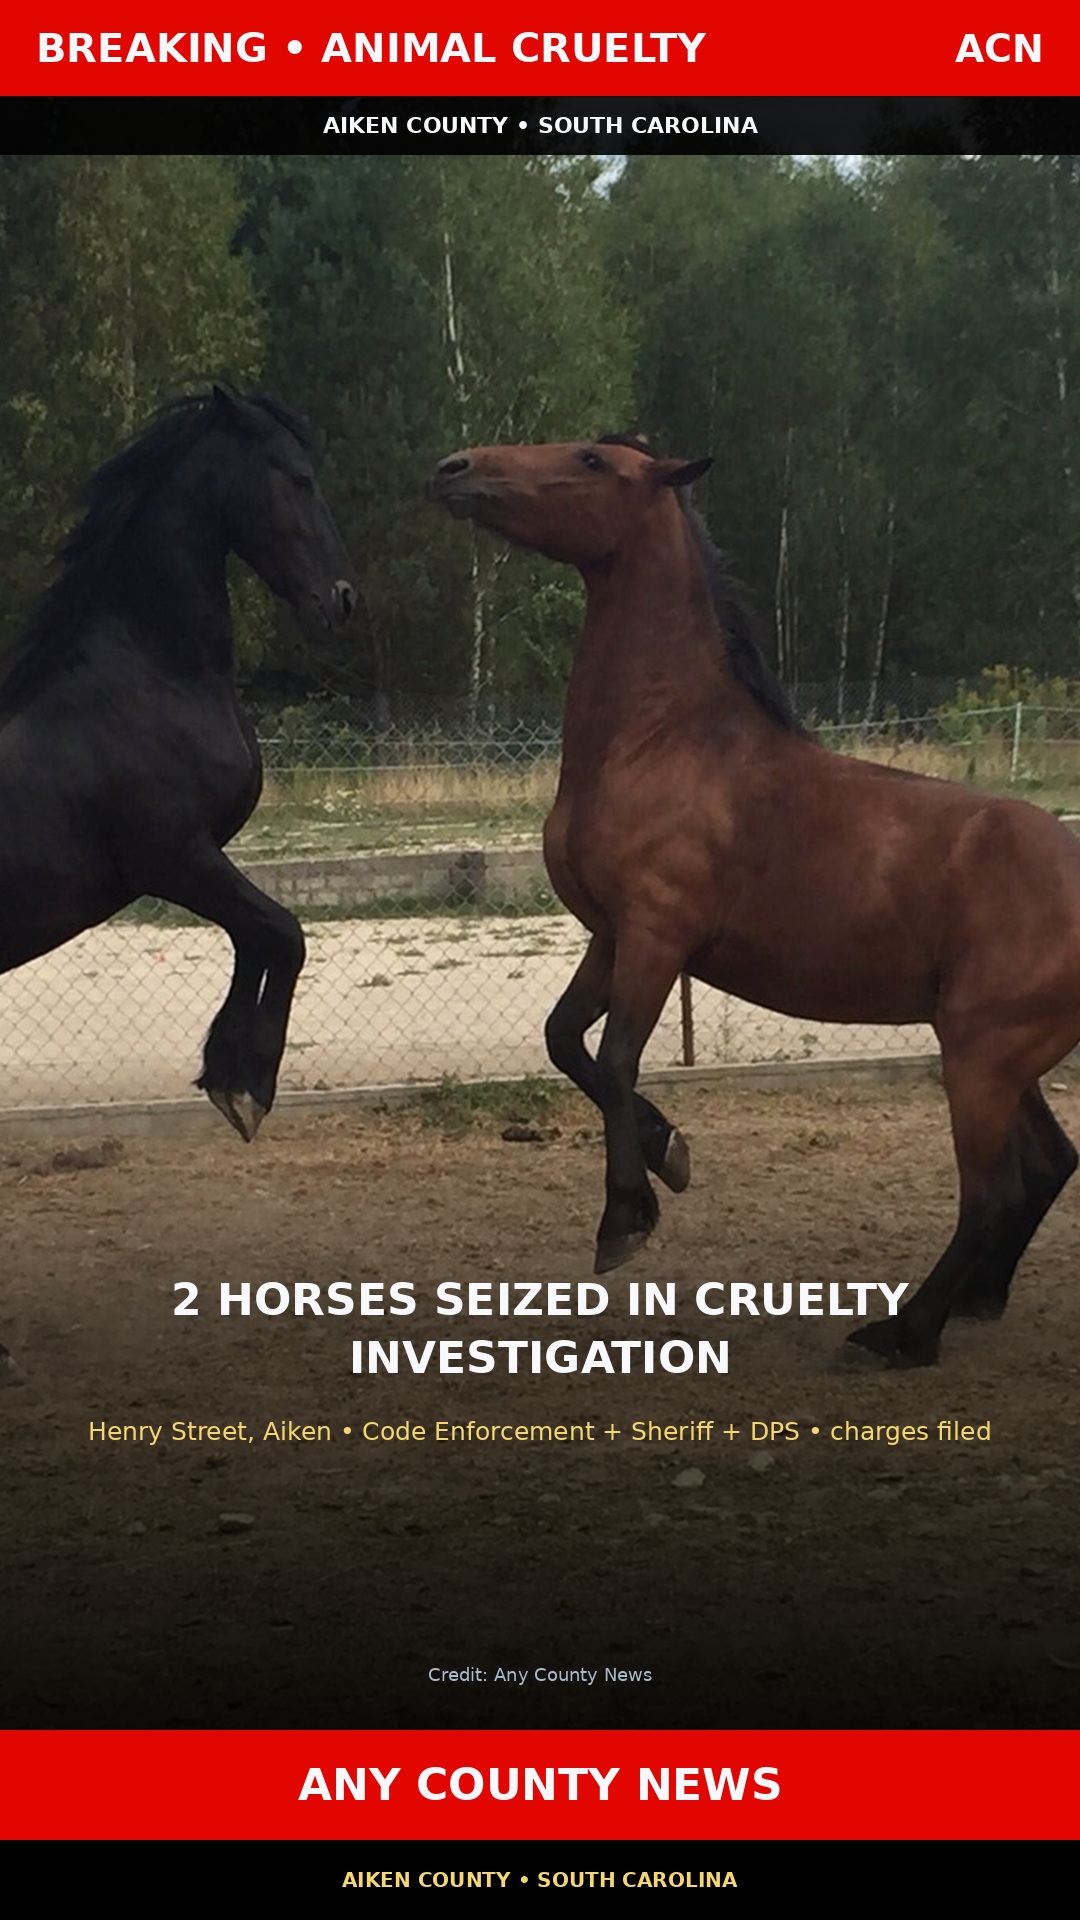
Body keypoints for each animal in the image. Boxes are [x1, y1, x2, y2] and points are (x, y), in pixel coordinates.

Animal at [0, 386, 355, 1147]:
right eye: (298, 479)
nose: (341, 598)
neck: (149, 673)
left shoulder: (198, 859)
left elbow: (257, 937)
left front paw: (226, 1075)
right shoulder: (171, 858)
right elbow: (284, 932)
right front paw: (248, 1086)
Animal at [429, 434, 1080, 1368]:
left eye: (590, 459)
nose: (454, 470)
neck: (660, 741)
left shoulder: (657, 936)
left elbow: (617, 1060)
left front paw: (626, 1217)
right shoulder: (608, 937)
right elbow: (564, 1042)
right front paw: (669, 1156)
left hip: (983, 1057)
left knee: (991, 1191)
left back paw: (904, 1332)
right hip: (995, 1051)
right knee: (1048, 1164)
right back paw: (975, 1301)